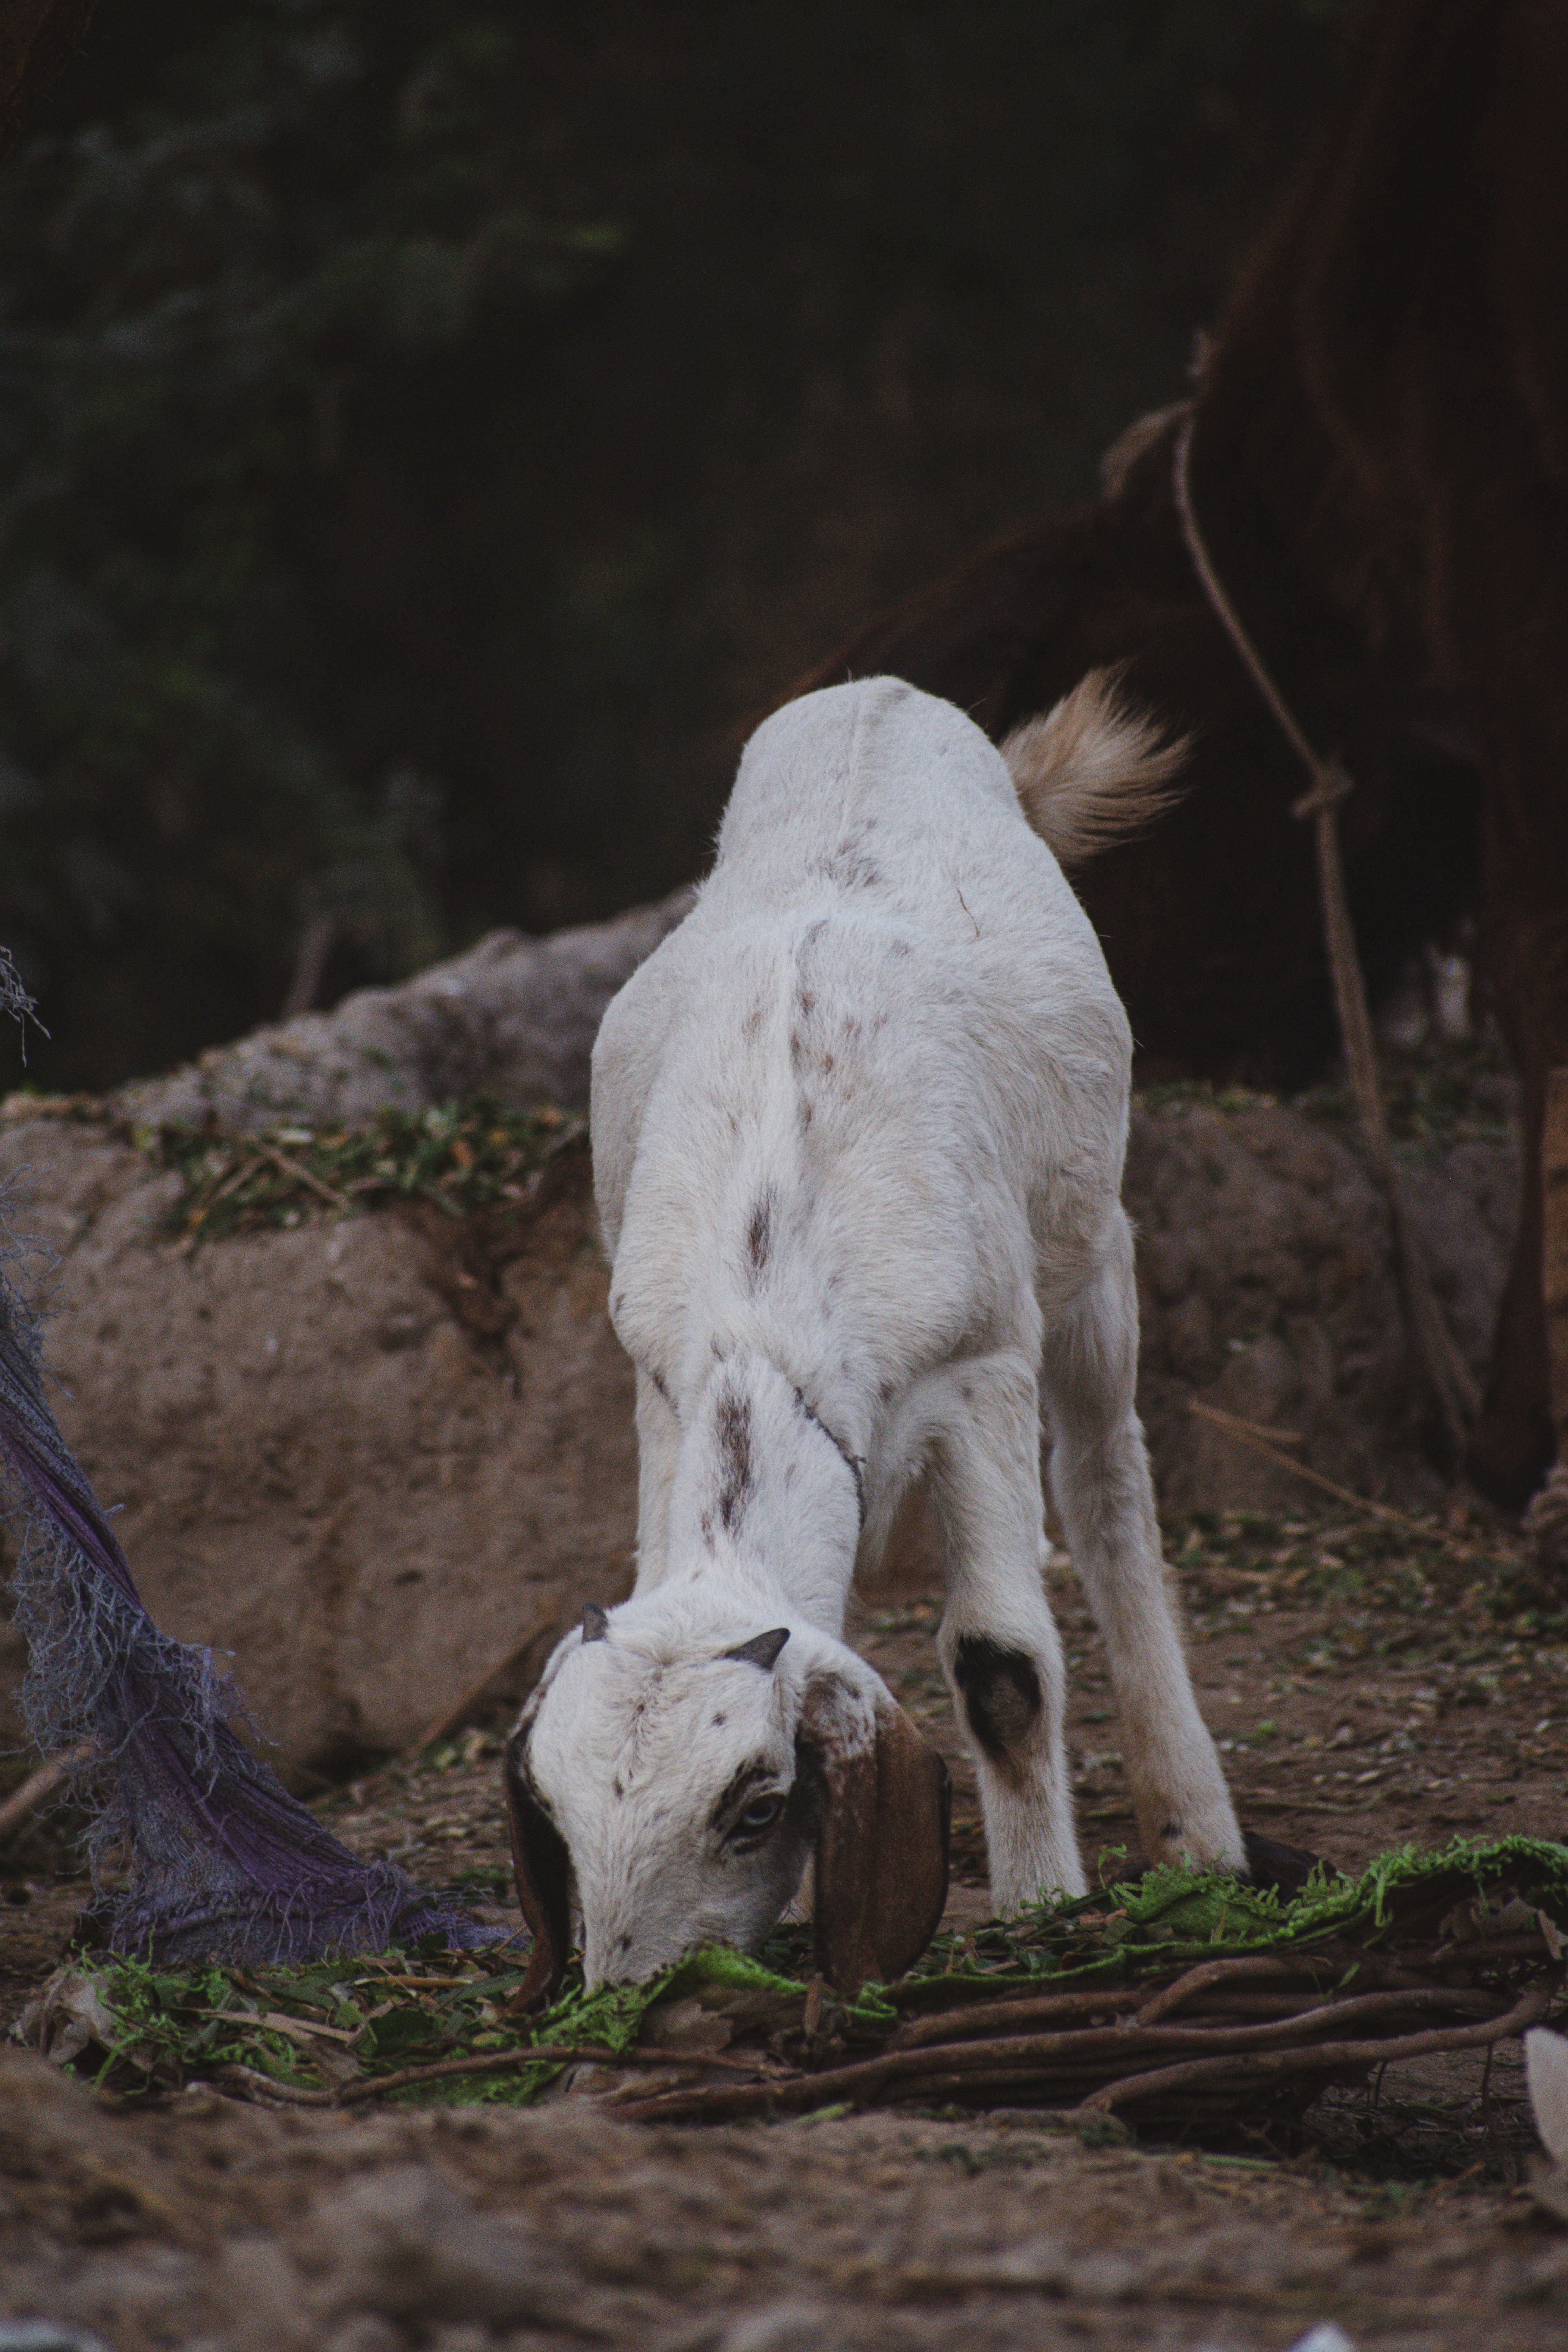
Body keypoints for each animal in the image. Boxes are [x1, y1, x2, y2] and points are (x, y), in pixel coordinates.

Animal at [504, 672, 1244, 2002]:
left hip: (1091, 1250)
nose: (630, 1991)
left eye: (754, 1807)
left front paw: (1044, 1910)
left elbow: (1004, 1663)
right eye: (559, 1815)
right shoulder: (656, 1374)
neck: (770, 1303)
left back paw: (1197, 1827)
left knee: (1108, 1478)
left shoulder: (984, 1361)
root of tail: (880, 696)